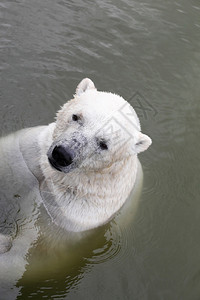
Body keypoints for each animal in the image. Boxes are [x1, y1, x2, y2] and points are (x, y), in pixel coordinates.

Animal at [0, 78, 151, 254]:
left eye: (103, 144)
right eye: (76, 117)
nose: (62, 154)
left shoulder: (73, 216)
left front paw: (6, 244)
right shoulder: (27, 156)